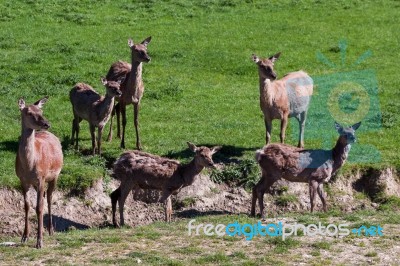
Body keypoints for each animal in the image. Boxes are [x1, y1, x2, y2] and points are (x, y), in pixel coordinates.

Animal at [15, 96, 63, 248]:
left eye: (41, 111)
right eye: (29, 112)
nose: (46, 123)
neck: (29, 166)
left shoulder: (41, 178)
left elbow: (39, 207)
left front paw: (39, 242)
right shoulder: (22, 180)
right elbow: (27, 206)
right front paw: (24, 237)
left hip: (55, 175)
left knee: (49, 198)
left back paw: (51, 230)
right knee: (44, 197)